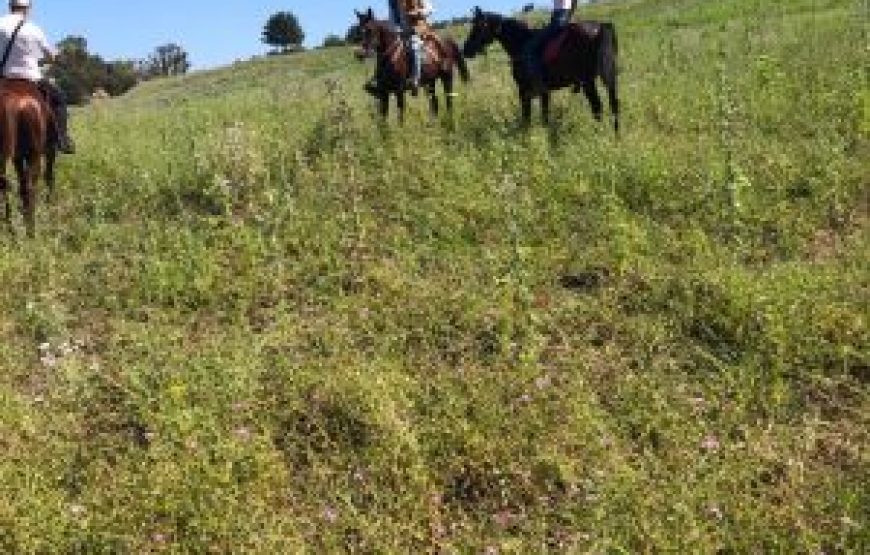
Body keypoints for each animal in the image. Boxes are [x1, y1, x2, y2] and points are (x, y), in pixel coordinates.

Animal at [0, 78, 56, 237]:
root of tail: (20, 102)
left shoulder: (17, 158)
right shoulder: (49, 151)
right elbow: (49, 176)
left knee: (8, 186)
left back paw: (12, 227)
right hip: (34, 155)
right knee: (31, 188)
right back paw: (30, 230)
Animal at [464, 7, 620, 131]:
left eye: (477, 27)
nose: (466, 50)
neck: (521, 42)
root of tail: (601, 27)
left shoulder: (524, 90)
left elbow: (527, 117)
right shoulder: (544, 92)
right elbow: (544, 116)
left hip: (588, 81)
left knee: (597, 107)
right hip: (608, 77)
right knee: (613, 104)